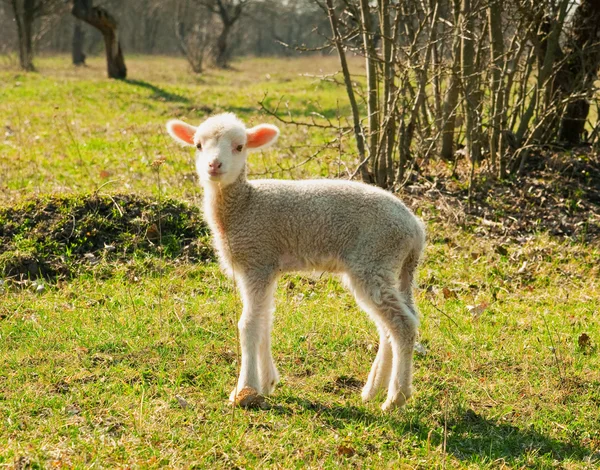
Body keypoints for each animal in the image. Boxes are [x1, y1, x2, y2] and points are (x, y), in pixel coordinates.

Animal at [166, 114, 424, 412]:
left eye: (240, 147)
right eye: (198, 145)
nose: (214, 165)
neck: (243, 205)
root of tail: (415, 229)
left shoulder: (257, 260)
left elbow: (248, 324)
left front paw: (245, 389)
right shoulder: (263, 266)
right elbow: (264, 320)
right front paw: (267, 383)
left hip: (374, 257)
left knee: (402, 324)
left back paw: (395, 398)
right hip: (388, 267)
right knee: (392, 324)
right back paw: (373, 389)